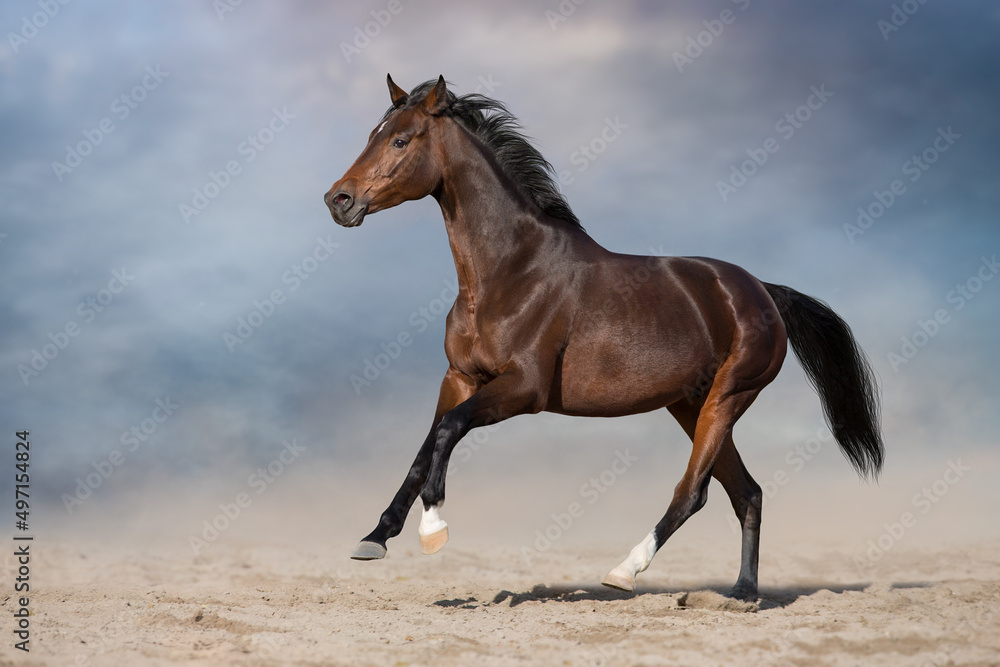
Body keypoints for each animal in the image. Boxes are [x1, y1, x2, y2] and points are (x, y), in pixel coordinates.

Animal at [324, 75, 883, 600]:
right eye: (374, 135)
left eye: (401, 140)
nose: (338, 200)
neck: (510, 271)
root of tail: (763, 290)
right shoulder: (459, 377)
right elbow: (425, 448)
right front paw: (375, 538)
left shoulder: (523, 388)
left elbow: (447, 431)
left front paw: (433, 529)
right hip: (690, 404)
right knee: (747, 492)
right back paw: (742, 594)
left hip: (728, 397)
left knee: (694, 492)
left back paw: (624, 572)